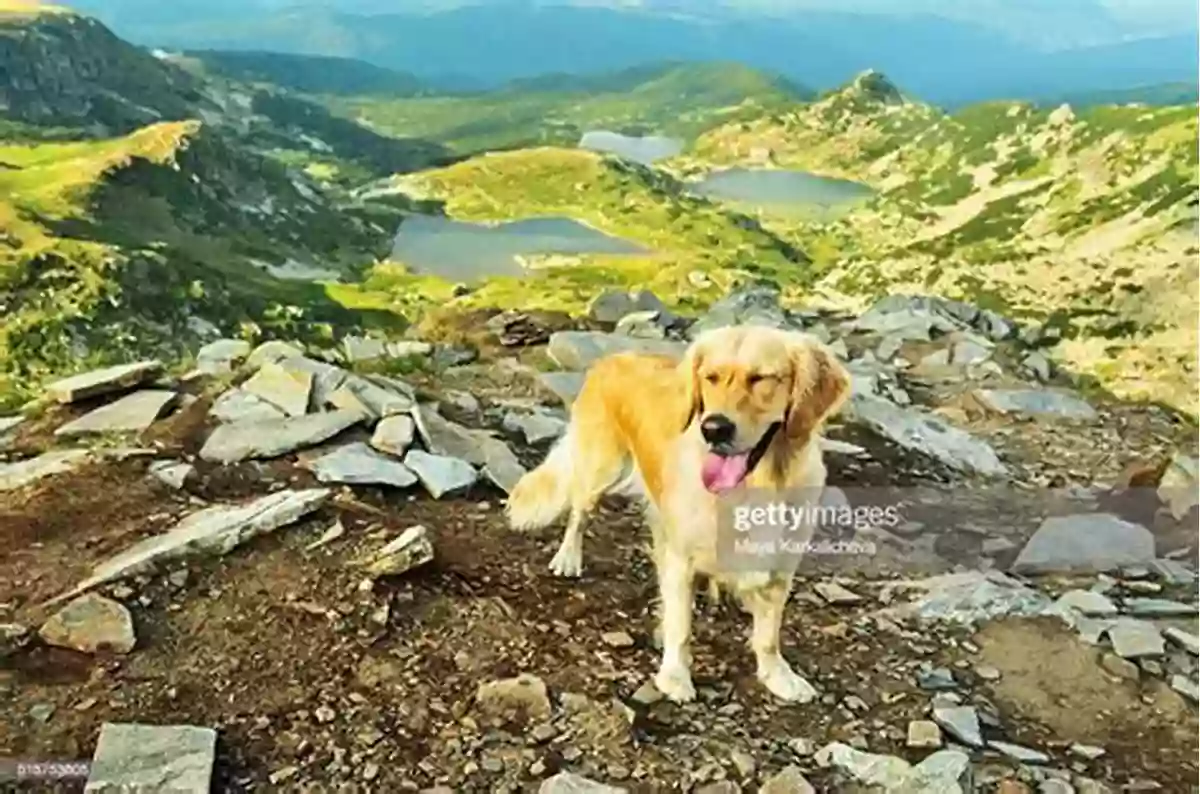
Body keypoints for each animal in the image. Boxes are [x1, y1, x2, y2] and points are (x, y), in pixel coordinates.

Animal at [506, 323, 854, 705]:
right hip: (600, 470)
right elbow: (680, 625)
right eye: (711, 378)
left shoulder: (780, 565)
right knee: (579, 514)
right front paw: (674, 676)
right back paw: (568, 557)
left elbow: (768, 634)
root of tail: (612, 357)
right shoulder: (680, 560)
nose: (714, 429)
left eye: (761, 378)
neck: (754, 487)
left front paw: (777, 675)